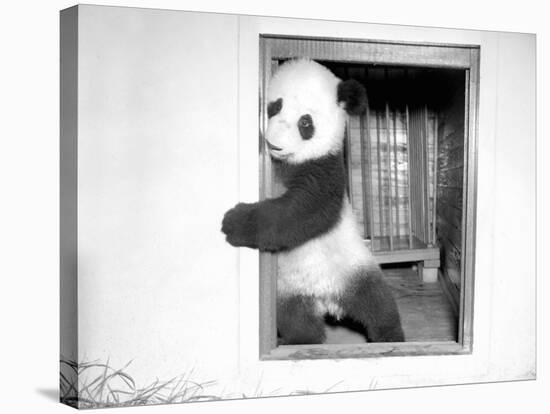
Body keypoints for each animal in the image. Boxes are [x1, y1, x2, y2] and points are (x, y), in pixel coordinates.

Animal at [222, 57, 408, 342]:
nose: (275, 143)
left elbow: (305, 211)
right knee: (298, 321)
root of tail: (327, 298)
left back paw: (391, 337)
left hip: (355, 268)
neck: (287, 161)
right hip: (289, 292)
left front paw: (235, 223)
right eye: (275, 106)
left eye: (305, 123)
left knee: (379, 304)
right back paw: (300, 340)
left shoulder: (325, 168)